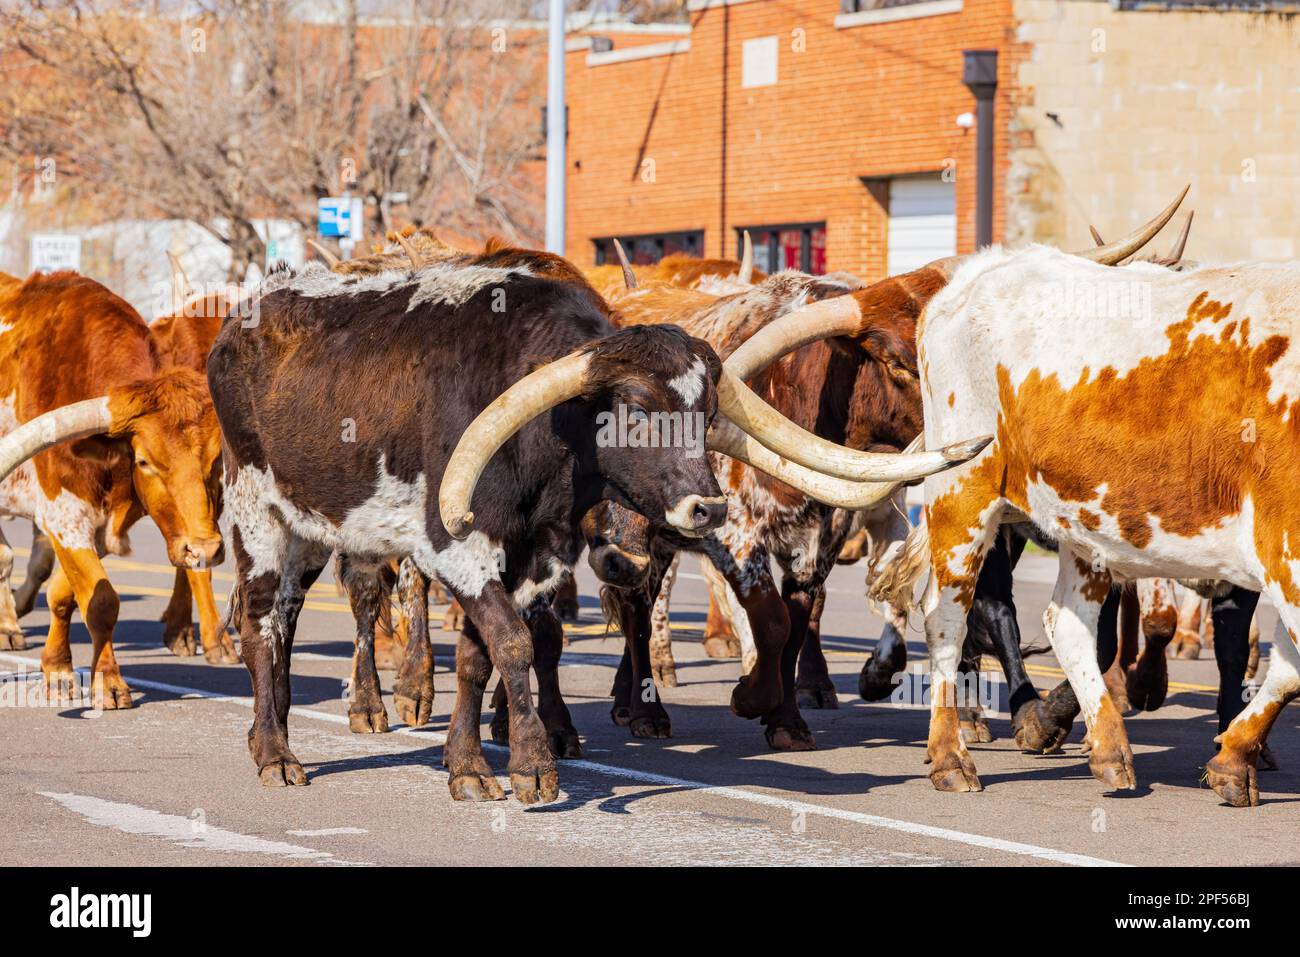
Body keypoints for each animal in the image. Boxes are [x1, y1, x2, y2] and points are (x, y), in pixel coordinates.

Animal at [0, 270, 223, 707]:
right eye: (145, 461)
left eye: (216, 459)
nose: (204, 550)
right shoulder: (64, 516)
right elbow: (102, 600)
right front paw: (109, 683)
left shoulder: (101, 526)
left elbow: (65, 594)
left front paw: (57, 668)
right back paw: (7, 628)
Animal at [204, 243, 961, 800]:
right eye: (633, 410)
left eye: (706, 411)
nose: (707, 506)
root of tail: (247, 312)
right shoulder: (456, 545)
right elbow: (513, 642)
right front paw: (532, 764)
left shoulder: (534, 551)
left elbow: (483, 654)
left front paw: (468, 763)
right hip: (258, 515)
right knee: (262, 623)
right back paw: (277, 752)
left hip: (309, 527)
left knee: (286, 621)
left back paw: (273, 730)